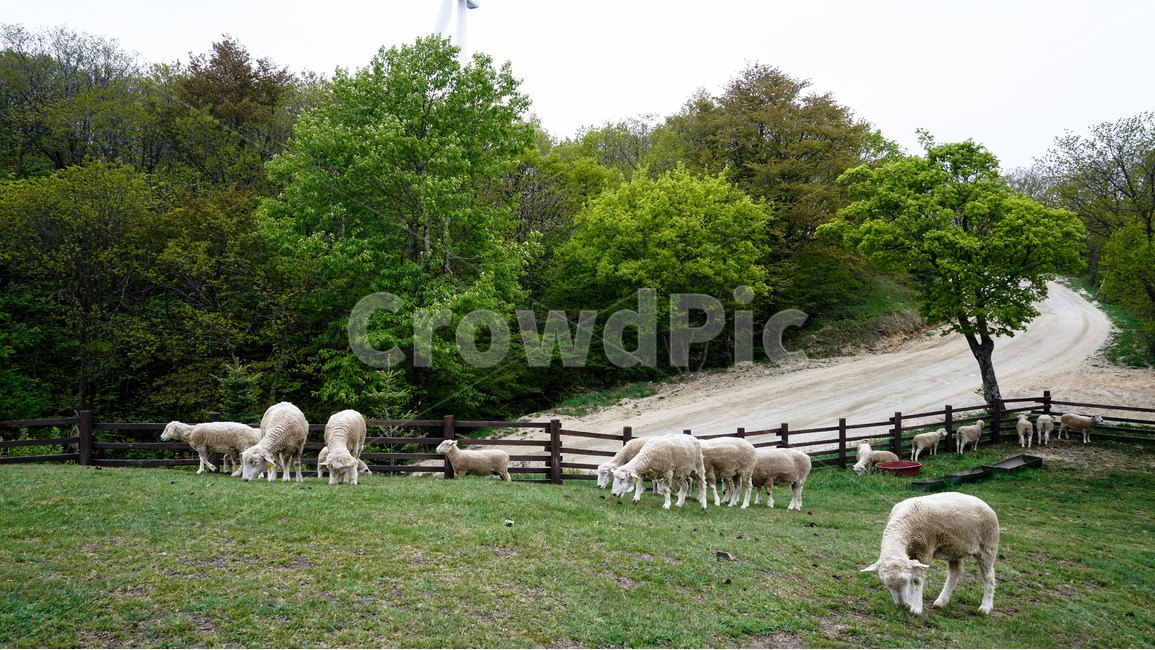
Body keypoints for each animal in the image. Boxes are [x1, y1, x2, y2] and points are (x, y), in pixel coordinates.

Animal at [862, 492, 999, 615]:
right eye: (886, 584)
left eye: (905, 581)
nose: (901, 605)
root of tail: (984, 503)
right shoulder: (911, 555)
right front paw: (911, 602)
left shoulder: (924, 551)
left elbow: (916, 580)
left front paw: (916, 608)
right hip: (955, 550)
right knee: (954, 574)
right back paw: (941, 601)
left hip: (987, 547)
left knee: (989, 576)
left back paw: (985, 607)